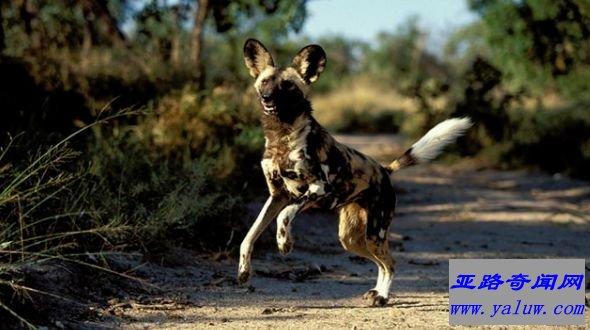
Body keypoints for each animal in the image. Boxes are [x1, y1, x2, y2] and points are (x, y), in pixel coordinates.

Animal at [236, 39, 472, 306]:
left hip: (375, 233)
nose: (267, 98)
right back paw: (376, 292)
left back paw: (383, 296)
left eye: (287, 85)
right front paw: (244, 271)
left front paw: (284, 243)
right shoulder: (277, 196)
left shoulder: (317, 188)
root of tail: (384, 170)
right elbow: (249, 236)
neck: (281, 136)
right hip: (351, 239)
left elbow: (284, 216)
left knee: (390, 262)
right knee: (380, 263)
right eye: (265, 81)